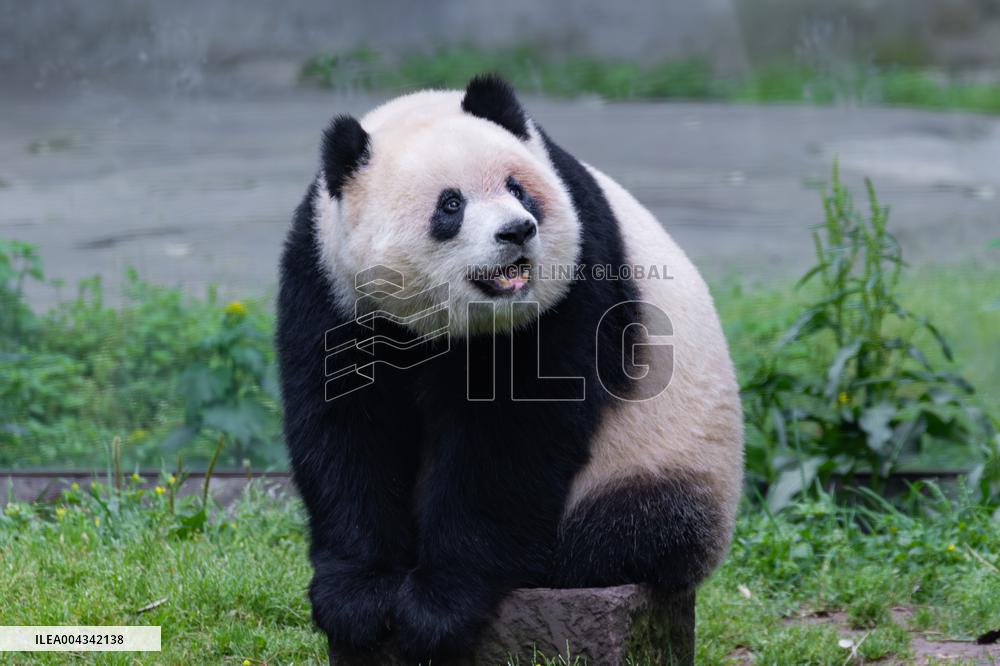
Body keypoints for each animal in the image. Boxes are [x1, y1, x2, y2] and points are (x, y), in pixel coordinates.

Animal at [276, 75, 743, 662]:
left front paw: (436, 607)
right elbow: (347, 422)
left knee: (625, 530)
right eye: (450, 205)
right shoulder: (328, 280)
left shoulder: (576, 282)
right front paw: (357, 599)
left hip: (666, 458)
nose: (517, 231)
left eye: (519, 190)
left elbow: (511, 438)